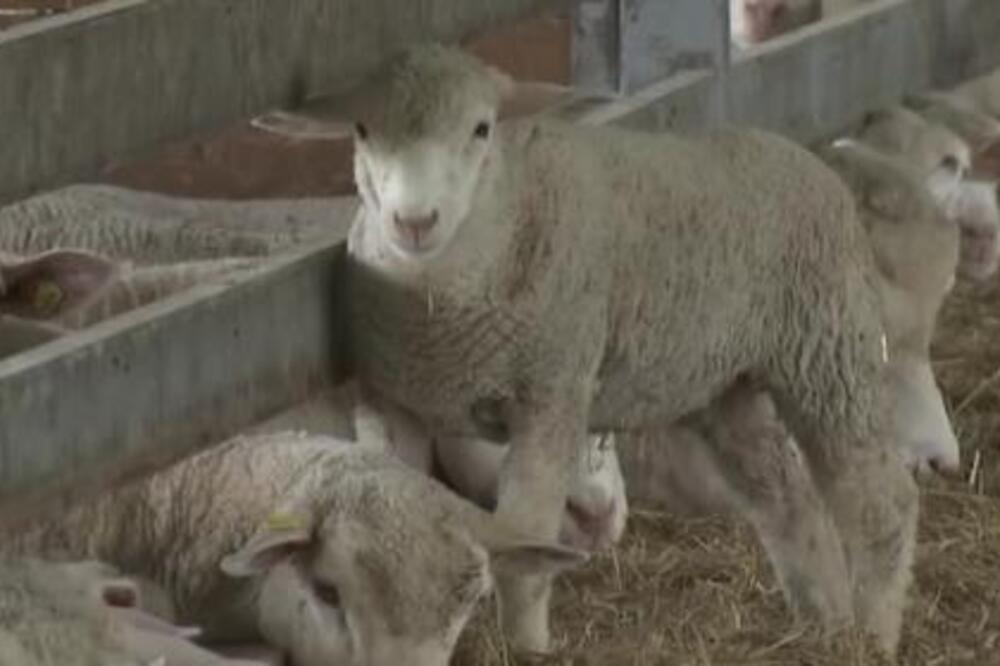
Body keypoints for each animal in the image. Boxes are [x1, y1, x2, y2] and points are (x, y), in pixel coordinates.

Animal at [268, 46, 916, 652]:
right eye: (362, 129)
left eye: (481, 128)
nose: (414, 220)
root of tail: (802, 155)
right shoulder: (393, 402)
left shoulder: (550, 394)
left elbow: (527, 546)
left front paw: (526, 648)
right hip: (725, 386)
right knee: (789, 500)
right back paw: (824, 625)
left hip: (830, 352)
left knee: (880, 506)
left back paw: (873, 636)